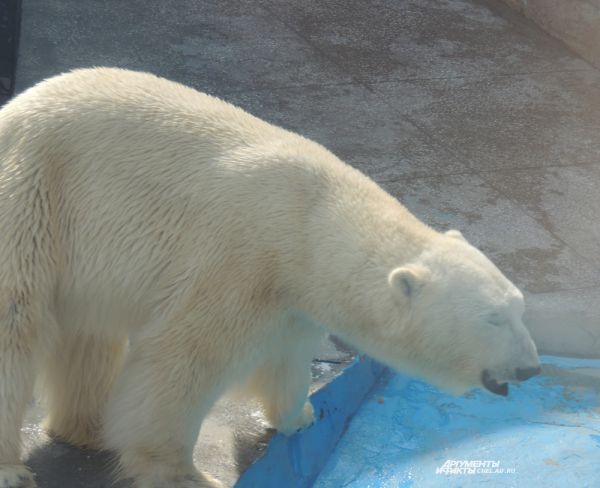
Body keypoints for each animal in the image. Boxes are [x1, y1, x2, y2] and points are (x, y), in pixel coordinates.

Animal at [0, 68, 540, 488]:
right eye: (493, 318)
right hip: (35, 194)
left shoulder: (292, 297)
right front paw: (187, 474)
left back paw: (87, 426)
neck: (312, 221)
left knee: (89, 334)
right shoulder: (240, 258)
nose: (532, 367)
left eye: (519, 307)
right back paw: (16, 466)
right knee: (17, 323)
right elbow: (181, 361)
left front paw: (300, 415)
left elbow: (286, 358)